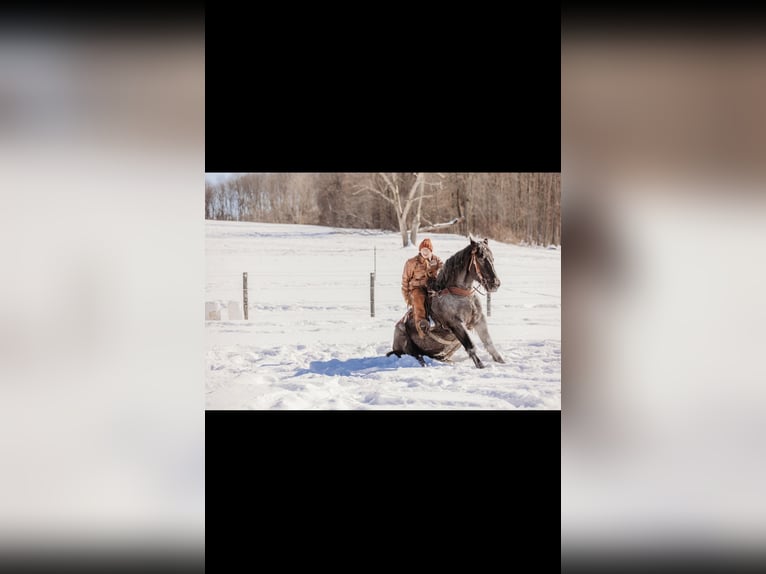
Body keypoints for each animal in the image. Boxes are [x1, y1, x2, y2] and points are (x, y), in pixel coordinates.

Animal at [387, 237, 505, 369]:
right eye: (481, 258)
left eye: (492, 258)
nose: (495, 284)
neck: (460, 294)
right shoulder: (456, 324)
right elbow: (470, 346)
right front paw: (481, 366)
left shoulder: (479, 320)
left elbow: (489, 343)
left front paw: (502, 362)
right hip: (405, 340)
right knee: (417, 356)